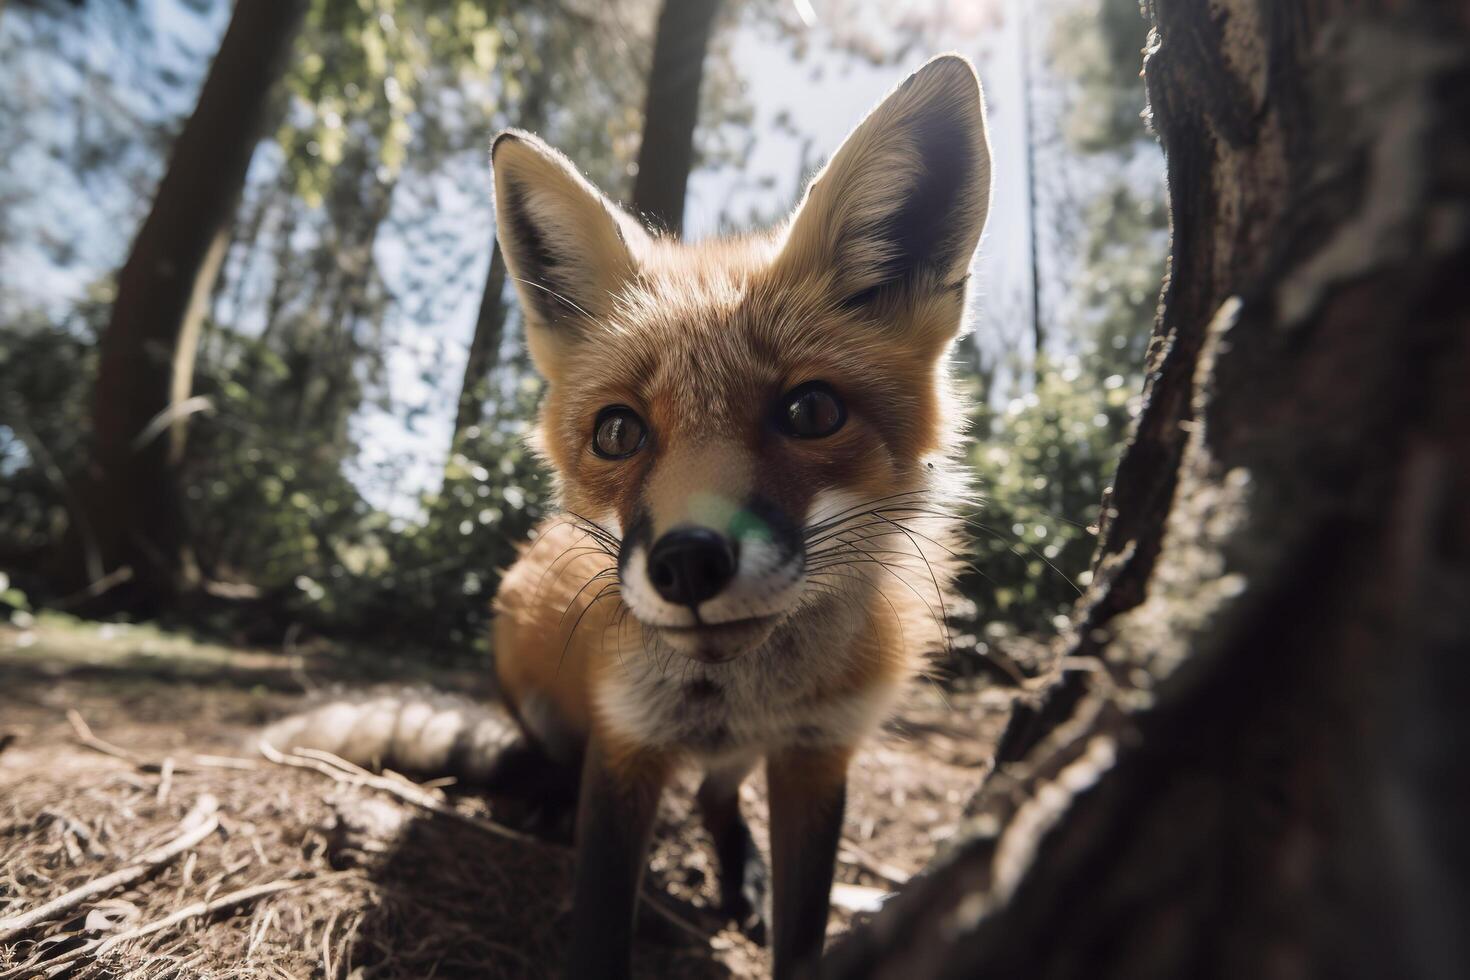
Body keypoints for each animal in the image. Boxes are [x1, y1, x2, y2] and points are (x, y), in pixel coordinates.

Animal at [270, 55, 993, 980]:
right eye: (618, 431)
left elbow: (803, 928)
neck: (733, 697)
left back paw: (737, 870)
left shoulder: (817, 753)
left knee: (718, 796)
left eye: (812, 412)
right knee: (543, 756)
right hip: (524, 660)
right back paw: (545, 797)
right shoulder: (625, 744)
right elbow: (599, 923)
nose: (687, 563)